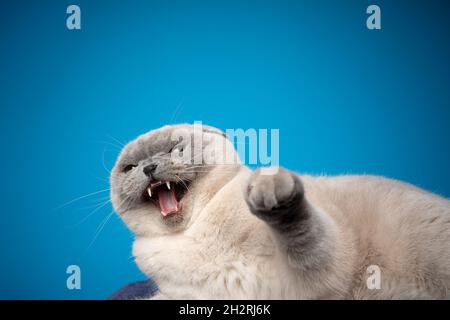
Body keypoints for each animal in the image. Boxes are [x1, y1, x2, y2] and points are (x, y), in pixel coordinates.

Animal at [110, 124, 450, 298]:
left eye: (175, 149)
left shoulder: (320, 274)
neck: (190, 234)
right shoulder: (184, 297)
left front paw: (271, 192)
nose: (149, 168)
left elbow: (301, 234)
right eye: (130, 168)